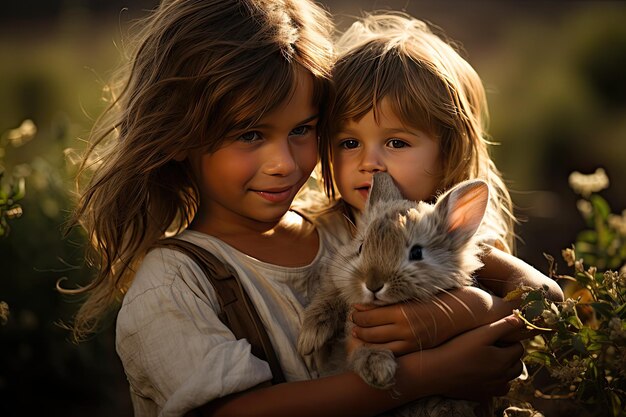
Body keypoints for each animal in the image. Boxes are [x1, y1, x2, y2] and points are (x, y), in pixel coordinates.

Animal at [300, 171, 490, 414]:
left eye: (417, 253)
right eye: (361, 248)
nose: (373, 284)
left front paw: (378, 371)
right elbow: (329, 298)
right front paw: (308, 340)